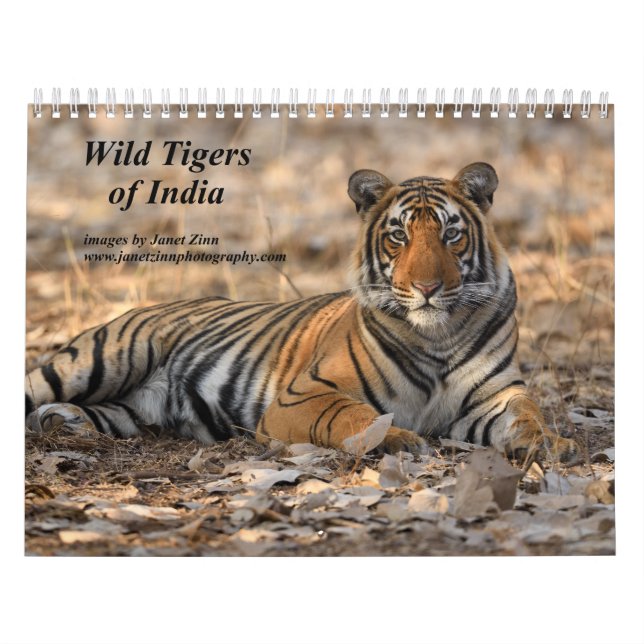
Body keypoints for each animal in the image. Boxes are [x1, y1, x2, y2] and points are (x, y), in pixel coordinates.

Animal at [25, 163, 578, 462]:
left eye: (451, 234)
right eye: (398, 236)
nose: (426, 287)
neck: (436, 336)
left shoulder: (495, 396)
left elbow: (527, 414)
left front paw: (551, 443)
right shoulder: (302, 396)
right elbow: (354, 415)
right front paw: (399, 439)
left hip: (133, 410)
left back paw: (64, 423)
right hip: (103, 358)